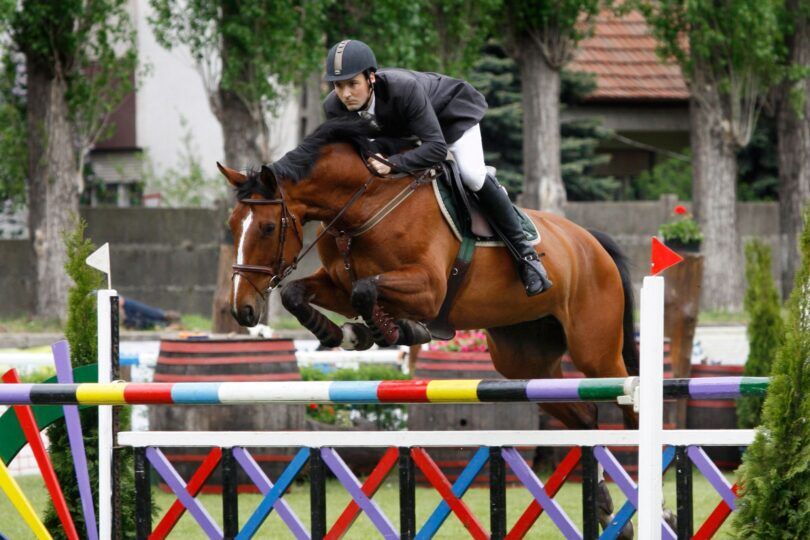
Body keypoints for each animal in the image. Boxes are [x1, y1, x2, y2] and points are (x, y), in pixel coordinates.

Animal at [219, 117, 636, 536]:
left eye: (267, 228)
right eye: (232, 226)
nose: (243, 310)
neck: (365, 205)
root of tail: (590, 241)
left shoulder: (428, 289)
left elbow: (366, 290)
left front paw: (395, 331)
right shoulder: (338, 284)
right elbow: (301, 293)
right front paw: (346, 334)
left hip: (594, 351)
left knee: (626, 401)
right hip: (525, 361)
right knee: (585, 416)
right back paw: (605, 507)